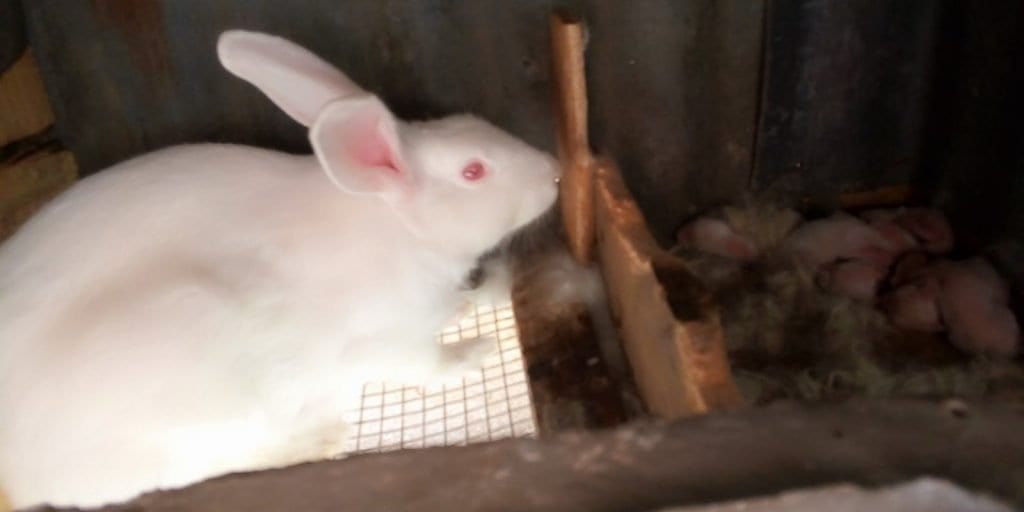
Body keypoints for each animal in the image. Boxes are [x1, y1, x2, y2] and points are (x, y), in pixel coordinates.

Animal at [0, 30, 559, 510]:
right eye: (474, 171)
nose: (553, 172)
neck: (399, 227)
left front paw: (463, 309)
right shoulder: (384, 342)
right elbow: (426, 365)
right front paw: (475, 353)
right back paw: (322, 437)